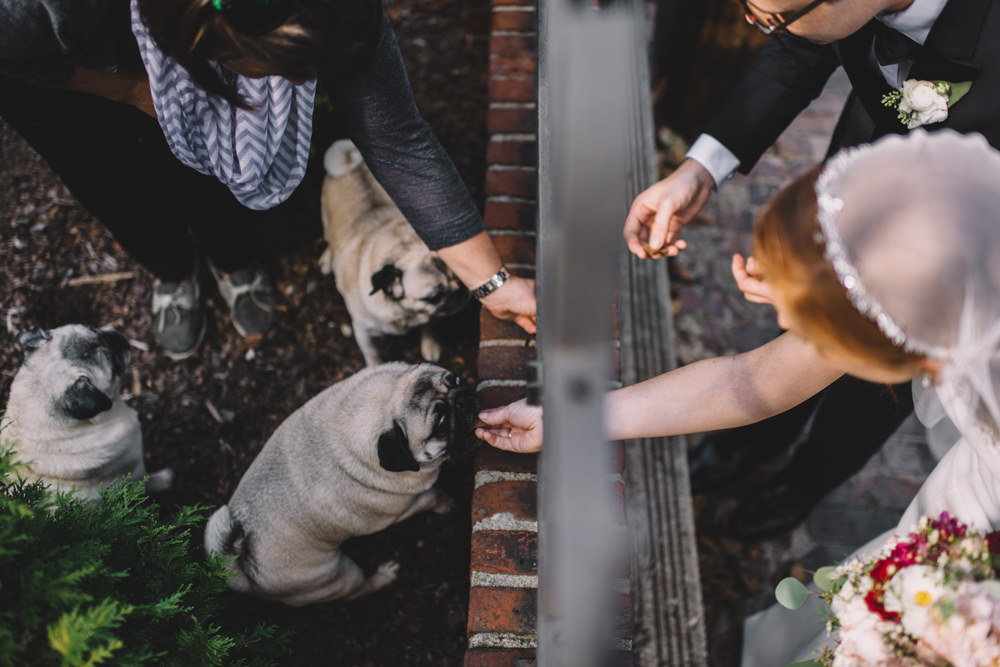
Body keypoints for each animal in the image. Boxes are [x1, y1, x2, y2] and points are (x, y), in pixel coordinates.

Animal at [1, 326, 173, 504]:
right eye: (113, 367)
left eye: (93, 329)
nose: (117, 337)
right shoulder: (136, 472)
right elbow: (149, 482)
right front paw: (165, 479)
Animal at [203, 362, 476, 608]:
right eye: (441, 423)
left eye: (454, 379)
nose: (464, 398)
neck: (385, 401)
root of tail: (244, 572)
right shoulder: (404, 509)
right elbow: (434, 495)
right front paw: (449, 503)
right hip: (339, 576)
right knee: (358, 590)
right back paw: (384, 576)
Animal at [318, 137, 470, 366]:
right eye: (434, 297)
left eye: (459, 278)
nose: (460, 291)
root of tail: (353, 160)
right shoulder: (363, 331)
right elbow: (372, 354)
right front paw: (376, 368)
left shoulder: (430, 314)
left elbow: (430, 325)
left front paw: (430, 345)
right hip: (326, 218)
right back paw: (327, 260)